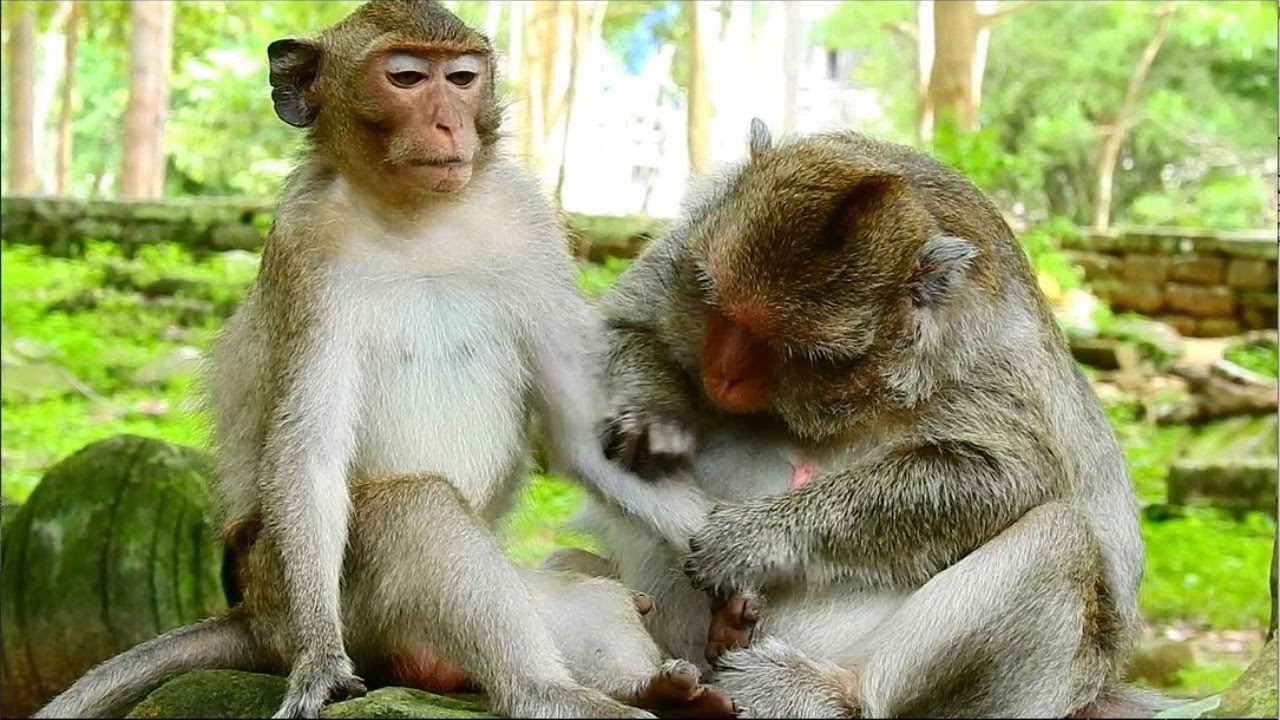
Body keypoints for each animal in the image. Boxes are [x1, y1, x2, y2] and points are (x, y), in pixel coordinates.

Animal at [33, 2, 730, 719]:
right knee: (412, 507)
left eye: (461, 78)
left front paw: (731, 561)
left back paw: (658, 687)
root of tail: (251, 617)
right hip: (294, 586)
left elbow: (580, 434)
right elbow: (312, 450)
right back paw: (549, 691)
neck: (419, 215)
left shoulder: (529, 222)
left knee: (579, 576)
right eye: (406, 78)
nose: (449, 122)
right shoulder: (305, 243)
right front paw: (319, 663)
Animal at [575, 119, 1178, 718]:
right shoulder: (683, 247)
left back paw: (830, 693)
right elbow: (617, 329)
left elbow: (1003, 473)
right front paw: (655, 417)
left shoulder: (993, 356)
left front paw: (751, 540)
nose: (723, 375)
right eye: (713, 301)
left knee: (1060, 538)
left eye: (805, 356)